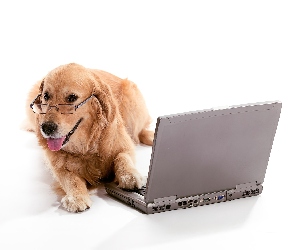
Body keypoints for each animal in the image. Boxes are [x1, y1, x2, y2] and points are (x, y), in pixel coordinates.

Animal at [25, 63, 155, 212]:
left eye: (71, 97)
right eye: (46, 96)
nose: (46, 128)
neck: (86, 147)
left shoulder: (124, 144)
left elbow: (122, 157)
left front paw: (130, 176)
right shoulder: (57, 164)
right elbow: (69, 177)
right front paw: (77, 197)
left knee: (139, 132)